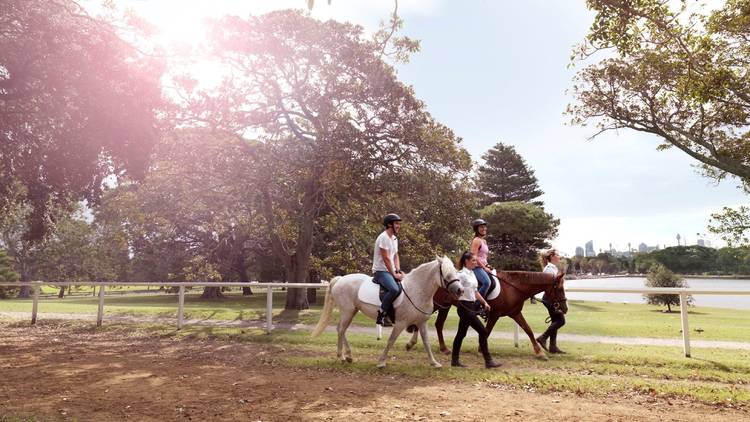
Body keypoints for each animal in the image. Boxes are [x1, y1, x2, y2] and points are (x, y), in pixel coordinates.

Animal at [312, 256, 464, 368]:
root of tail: (340, 279)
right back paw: (343, 356)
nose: (460, 290)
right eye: (446, 273)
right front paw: (381, 362)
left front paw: (434, 362)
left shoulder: (421, 322)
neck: (416, 289)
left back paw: (347, 356)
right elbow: (391, 340)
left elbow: (426, 342)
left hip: (351, 311)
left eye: (455, 271)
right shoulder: (400, 323)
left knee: (341, 330)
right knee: (341, 330)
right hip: (347, 311)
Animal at [408, 270, 568, 360]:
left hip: (444, 307)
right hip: (435, 304)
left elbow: (528, 329)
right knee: (421, 319)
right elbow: (488, 330)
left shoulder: (515, 313)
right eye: (560, 289)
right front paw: (481, 349)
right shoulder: (494, 314)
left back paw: (443, 348)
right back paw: (411, 343)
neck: (512, 287)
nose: (564, 309)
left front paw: (539, 352)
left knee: (438, 324)